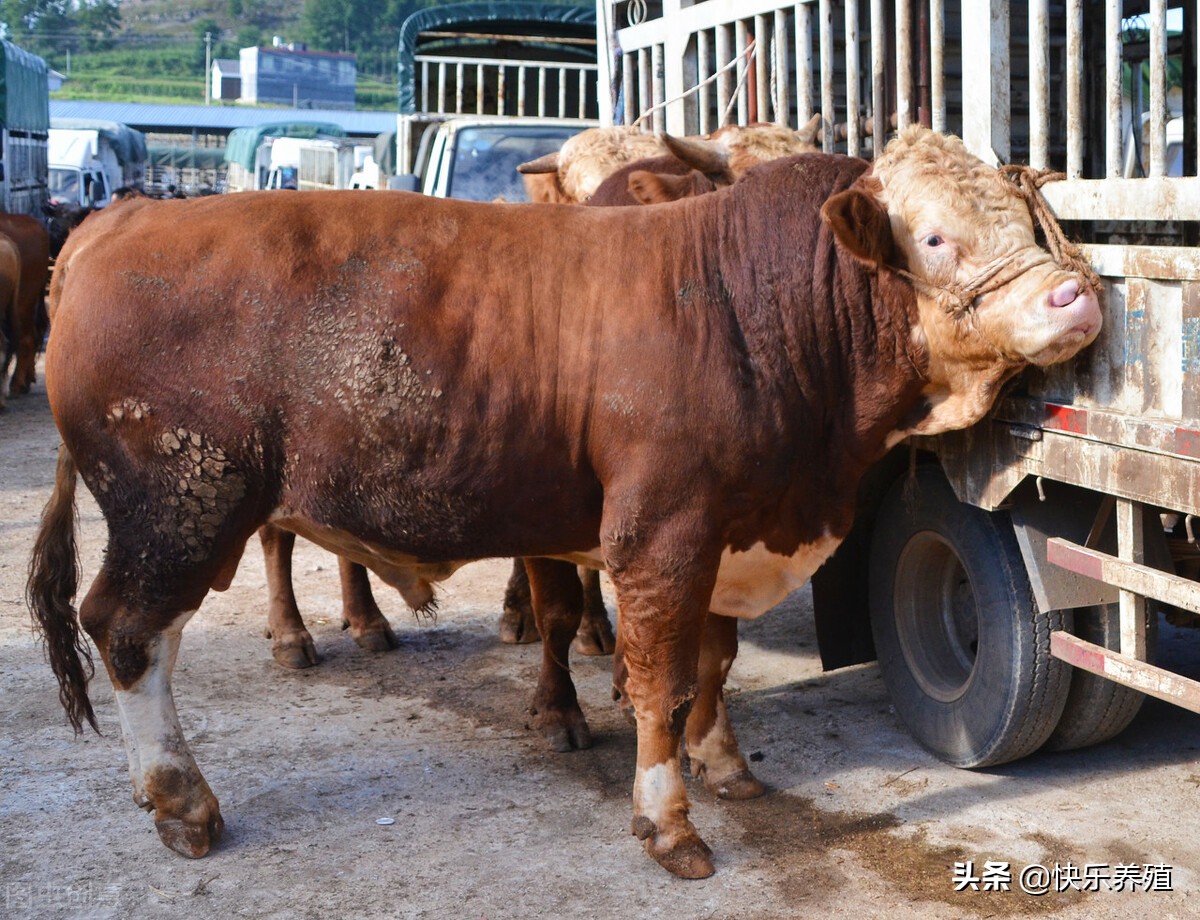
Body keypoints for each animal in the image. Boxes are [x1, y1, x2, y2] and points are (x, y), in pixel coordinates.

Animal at [28, 127, 1099, 878]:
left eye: (1022, 217)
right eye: (935, 236)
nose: (1076, 297)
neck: (750, 301)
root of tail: (119, 221)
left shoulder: (731, 527)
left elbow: (714, 662)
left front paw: (725, 762)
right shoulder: (662, 533)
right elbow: (659, 681)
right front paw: (668, 823)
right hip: (181, 505)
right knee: (127, 630)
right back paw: (182, 799)